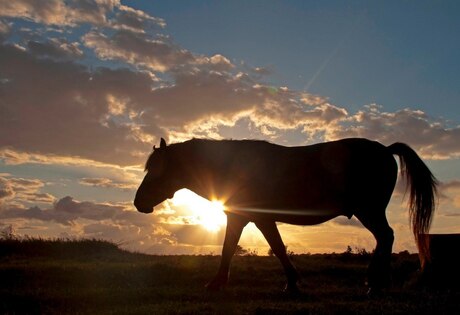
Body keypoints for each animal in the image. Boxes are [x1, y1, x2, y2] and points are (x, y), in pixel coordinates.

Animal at [134, 138, 438, 296]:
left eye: (158, 170)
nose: (138, 203)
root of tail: (385, 149)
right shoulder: (248, 218)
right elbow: (245, 247)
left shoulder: (254, 218)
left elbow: (257, 248)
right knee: (384, 238)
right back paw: (377, 282)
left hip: (369, 210)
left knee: (385, 237)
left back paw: (376, 284)